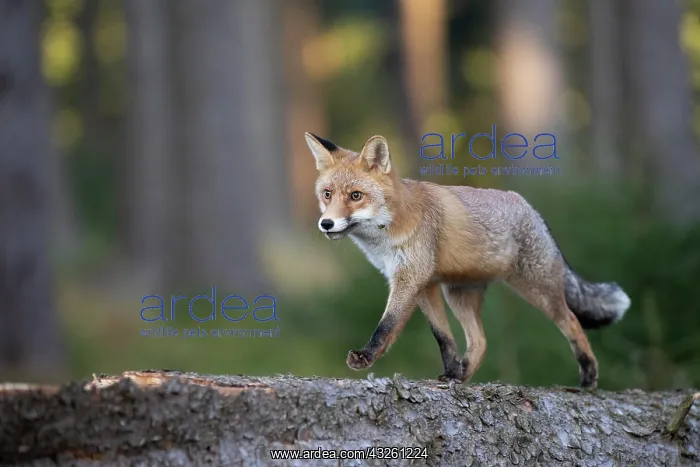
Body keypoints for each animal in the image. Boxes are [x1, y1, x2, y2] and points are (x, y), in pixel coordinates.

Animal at [305, 132, 631, 389]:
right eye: (327, 194)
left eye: (356, 196)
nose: (326, 224)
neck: (389, 231)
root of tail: (531, 209)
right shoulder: (424, 285)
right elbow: (443, 336)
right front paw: (451, 372)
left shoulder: (410, 278)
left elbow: (387, 325)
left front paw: (366, 356)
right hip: (459, 295)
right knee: (481, 342)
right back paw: (463, 375)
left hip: (538, 290)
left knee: (572, 321)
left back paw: (588, 377)